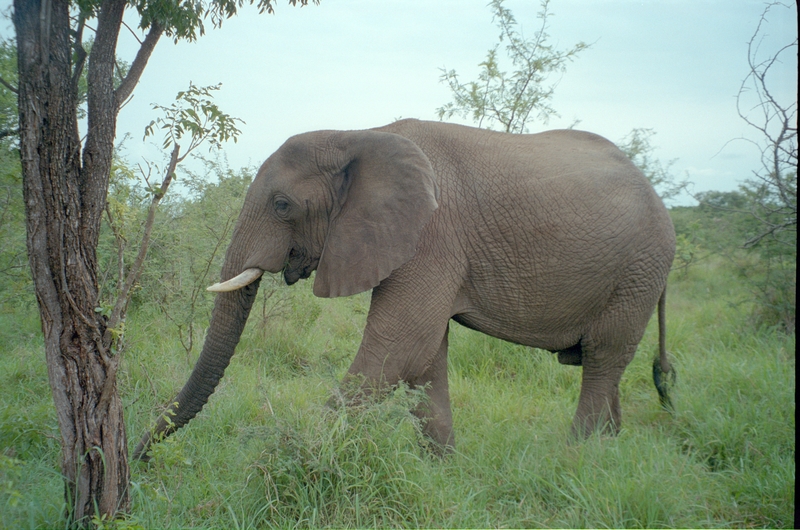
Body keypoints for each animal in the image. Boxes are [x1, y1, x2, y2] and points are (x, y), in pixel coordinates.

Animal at [131, 116, 676, 458]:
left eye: (282, 205)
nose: (140, 457)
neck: (357, 135)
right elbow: (424, 359)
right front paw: (445, 473)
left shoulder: (432, 236)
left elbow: (397, 349)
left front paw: (280, 460)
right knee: (606, 366)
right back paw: (607, 456)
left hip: (640, 268)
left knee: (604, 357)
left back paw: (576, 460)